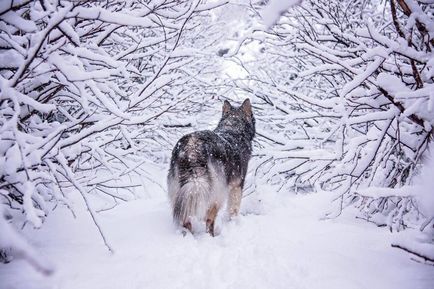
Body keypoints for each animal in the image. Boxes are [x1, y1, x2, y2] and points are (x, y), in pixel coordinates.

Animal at [166, 98, 254, 235]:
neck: (234, 128)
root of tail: (192, 147)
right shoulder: (237, 185)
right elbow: (233, 209)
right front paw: (233, 222)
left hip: (181, 191)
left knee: (186, 219)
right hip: (217, 192)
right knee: (209, 219)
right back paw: (211, 235)